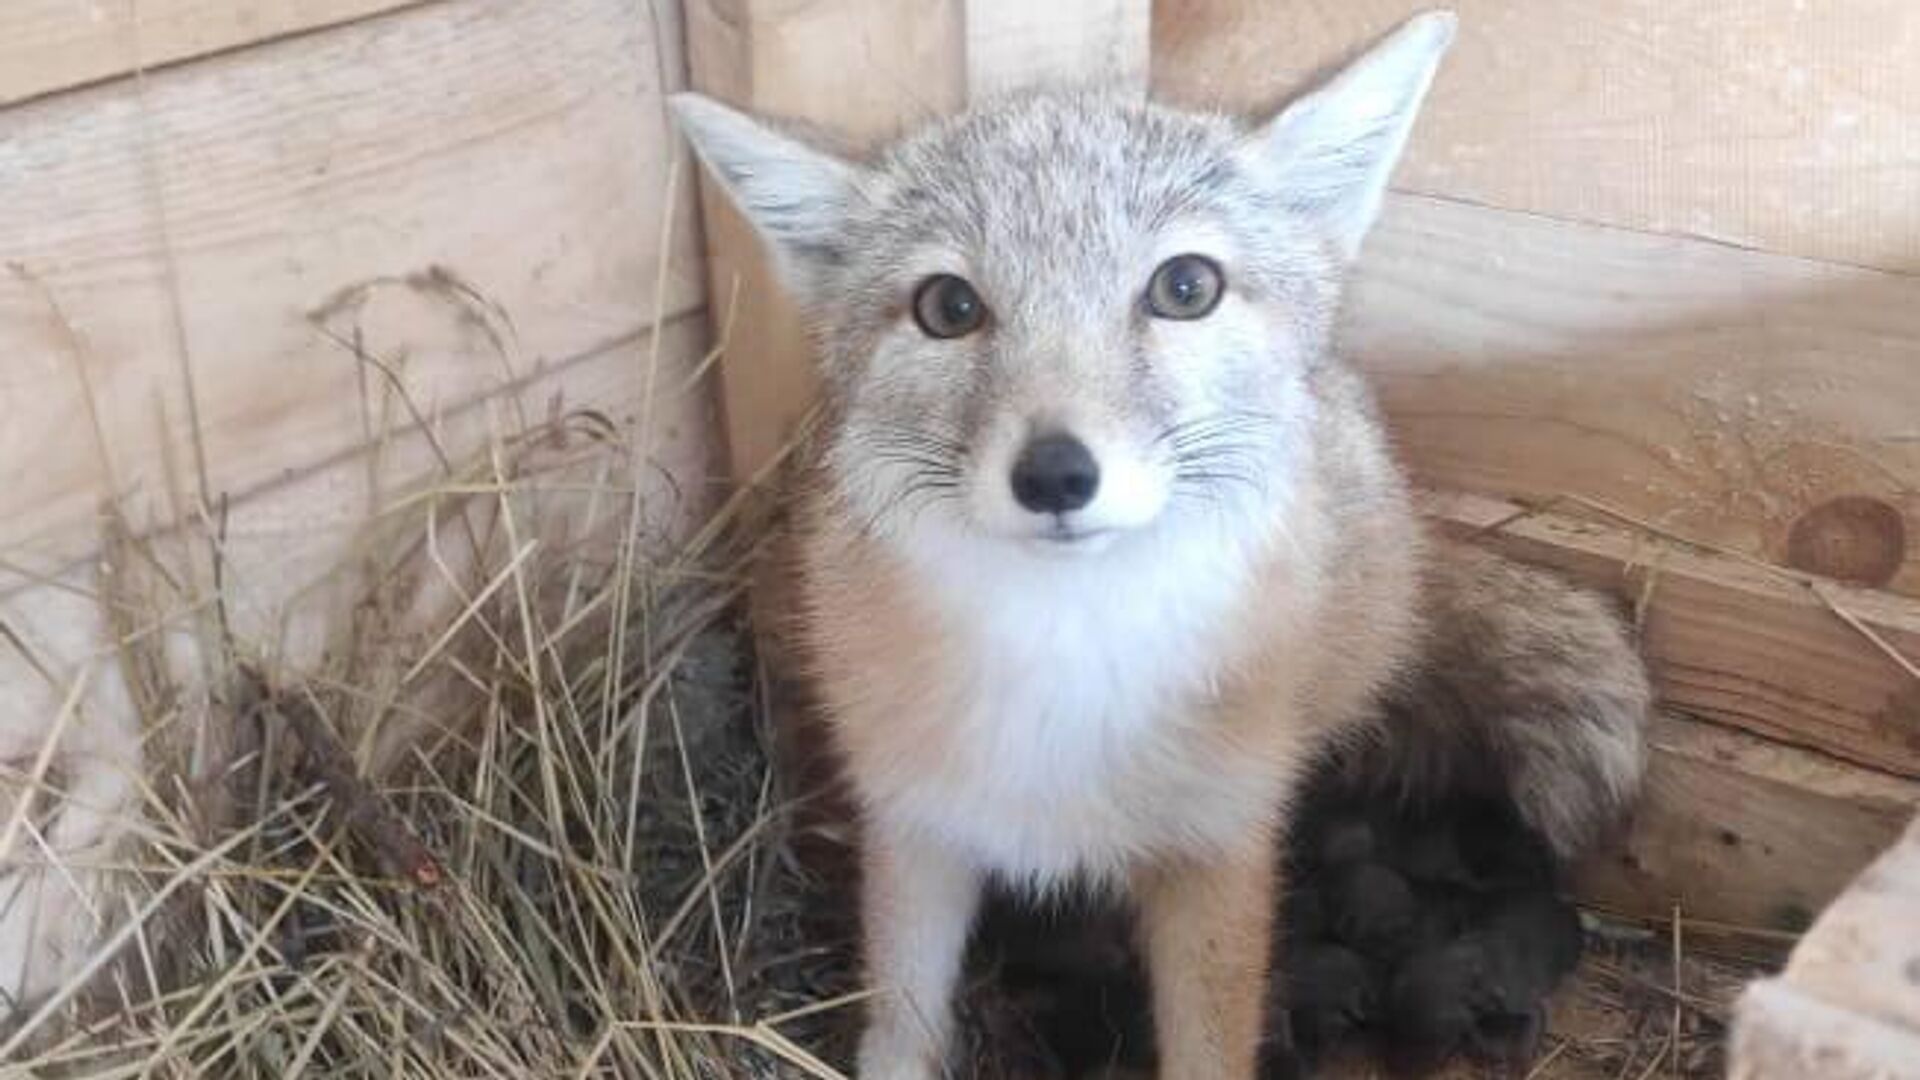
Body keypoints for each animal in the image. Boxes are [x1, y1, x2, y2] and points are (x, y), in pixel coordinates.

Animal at [672, 10, 1651, 1076]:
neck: (1064, 669)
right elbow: (899, 1029)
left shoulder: (1219, 851)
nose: (1056, 476)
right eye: (949, 308)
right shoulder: (917, 825)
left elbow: (1208, 1043)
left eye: (1185, 287)